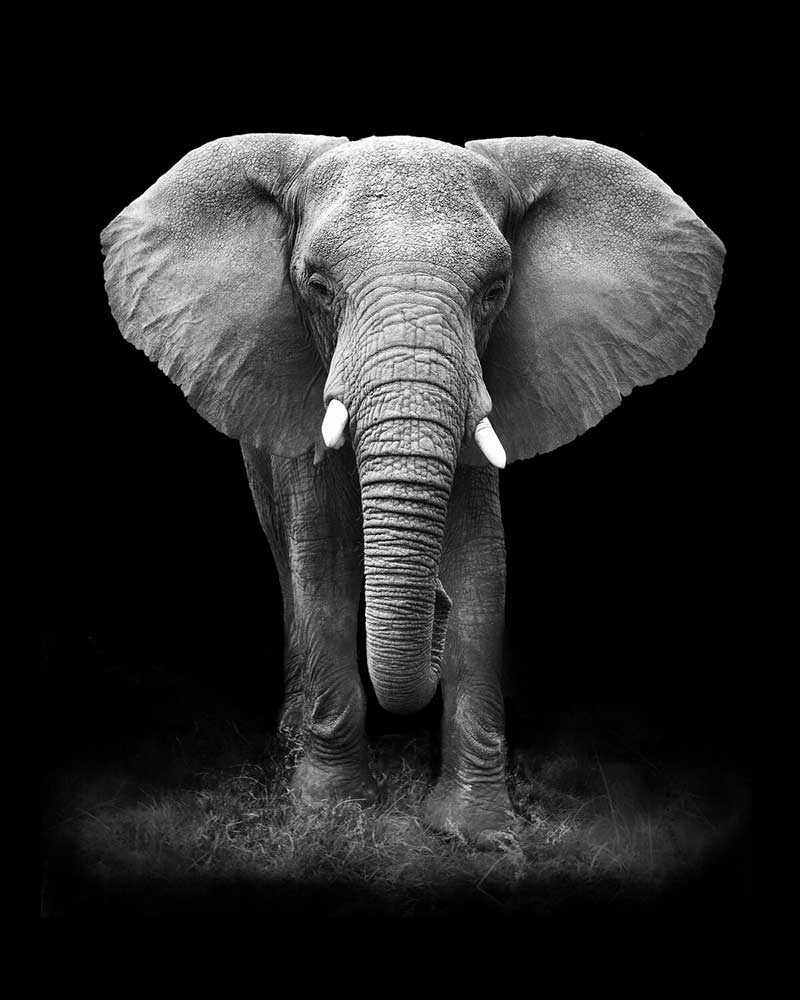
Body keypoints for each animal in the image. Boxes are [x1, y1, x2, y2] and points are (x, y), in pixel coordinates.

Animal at [101, 133, 724, 841]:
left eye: (495, 290)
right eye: (317, 286)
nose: (435, 604)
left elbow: (482, 569)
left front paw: (476, 831)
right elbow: (324, 566)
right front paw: (330, 812)